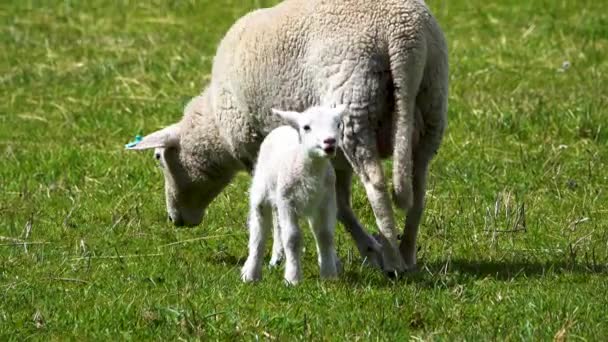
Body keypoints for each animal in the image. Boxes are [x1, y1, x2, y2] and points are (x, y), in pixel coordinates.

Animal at [242, 103, 346, 284]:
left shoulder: (327, 201)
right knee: (258, 231)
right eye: (306, 127)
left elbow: (325, 235)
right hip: (263, 190)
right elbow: (292, 238)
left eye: (338, 124)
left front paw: (329, 275)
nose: (330, 141)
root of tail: (283, 127)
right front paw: (292, 278)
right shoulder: (287, 201)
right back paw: (251, 273)